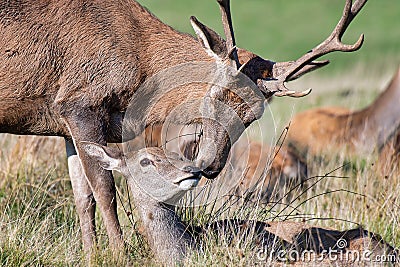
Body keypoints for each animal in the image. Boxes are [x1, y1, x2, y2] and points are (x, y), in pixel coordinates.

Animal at [0, 0, 368, 251]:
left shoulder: (64, 125)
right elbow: (105, 192)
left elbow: (83, 198)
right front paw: (120, 253)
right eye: (215, 93)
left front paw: (92, 255)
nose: (210, 165)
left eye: (255, 114)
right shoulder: (80, 103)